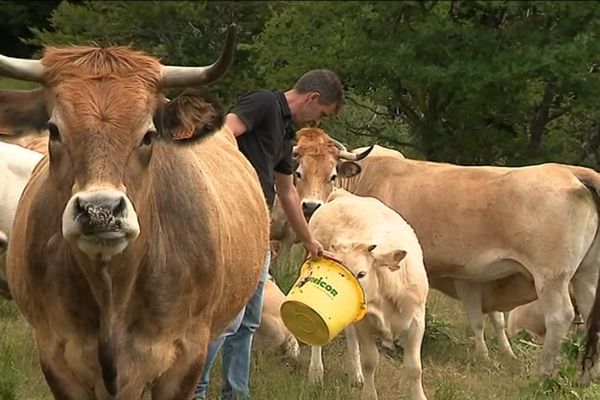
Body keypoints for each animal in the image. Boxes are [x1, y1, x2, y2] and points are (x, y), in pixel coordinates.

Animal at [1, 25, 270, 400]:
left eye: (148, 134)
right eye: (54, 130)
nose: (100, 210)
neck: (112, 289)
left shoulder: (186, 356)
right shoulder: (56, 355)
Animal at [308, 190, 428, 400]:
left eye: (362, 274)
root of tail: (343, 194)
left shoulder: (416, 322)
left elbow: (414, 368)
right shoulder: (364, 324)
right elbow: (370, 361)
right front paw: (369, 394)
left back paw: (355, 375)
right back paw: (316, 373)